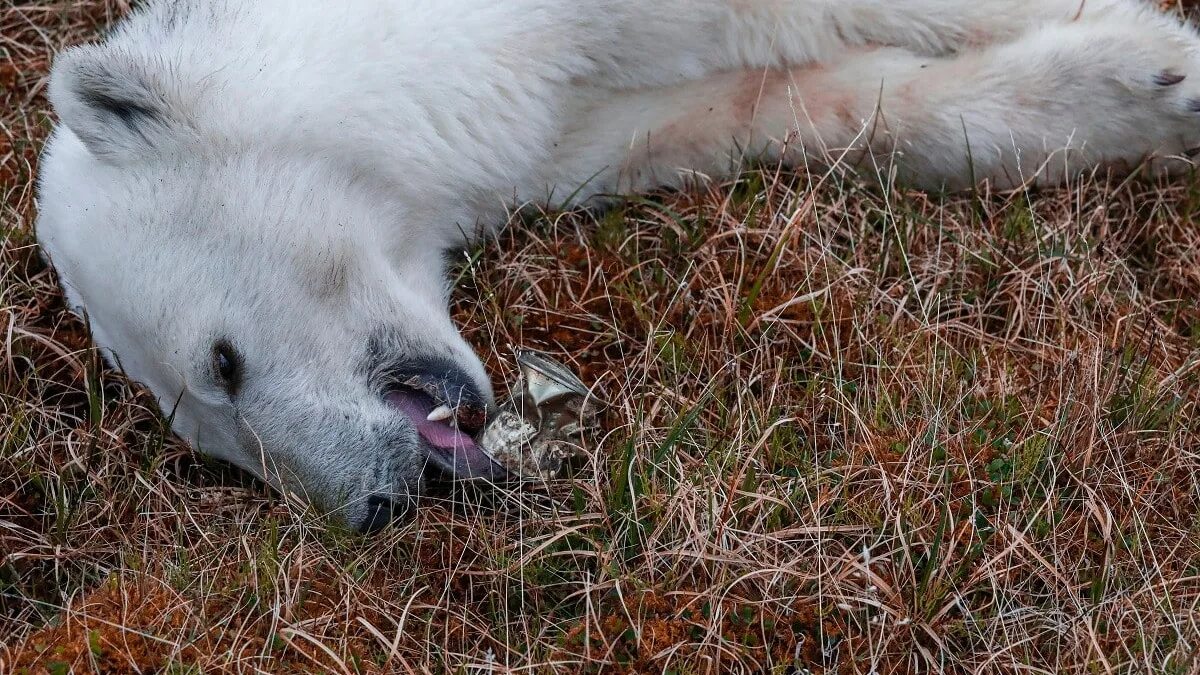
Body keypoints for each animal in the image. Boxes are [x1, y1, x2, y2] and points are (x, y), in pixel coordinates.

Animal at [37, 0, 1200, 528]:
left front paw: (1160, 61)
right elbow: (784, 106)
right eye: (217, 448)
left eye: (221, 363)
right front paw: (1140, 87)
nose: (375, 505)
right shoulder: (576, 120)